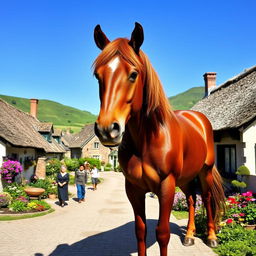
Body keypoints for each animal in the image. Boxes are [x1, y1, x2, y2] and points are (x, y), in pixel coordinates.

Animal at [93, 23, 225, 255]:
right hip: (186, 178)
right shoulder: (134, 189)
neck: (147, 140)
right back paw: (189, 235)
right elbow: (140, 231)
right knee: (191, 199)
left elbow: (162, 233)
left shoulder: (166, 186)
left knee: (207, 199)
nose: (107, 130)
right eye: (98, 76)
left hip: (205, 172)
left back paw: (211, 237)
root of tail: (199, 118)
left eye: (133, 74)